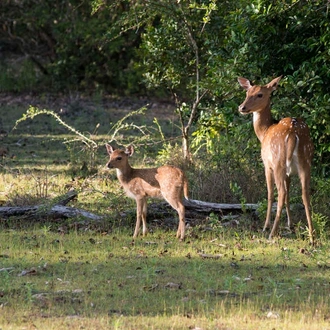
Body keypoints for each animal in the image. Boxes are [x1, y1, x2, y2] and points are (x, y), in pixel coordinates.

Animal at [237, 76, 314, 244]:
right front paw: (290, 225)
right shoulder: (289, 172)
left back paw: (271, 232)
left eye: (260, 94)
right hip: (306, 161)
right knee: (304, 193)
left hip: (279, 162)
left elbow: (270, 194)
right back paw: (312, 236)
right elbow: (290, 193)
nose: (242, 107)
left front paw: (266, 226)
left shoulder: (267, 164)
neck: (264, 132)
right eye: (247, 92)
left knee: (281, 192)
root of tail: (293, 133)